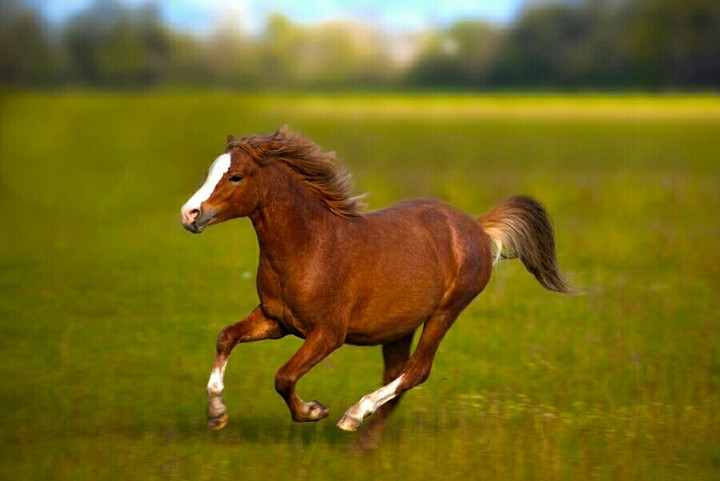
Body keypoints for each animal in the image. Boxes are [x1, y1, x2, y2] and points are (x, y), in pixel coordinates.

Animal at [180, 126, 573, 449]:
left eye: (235, 177)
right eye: (210, 172)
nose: (190, 214)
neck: (311, 246)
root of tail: (477, 226)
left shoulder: (328, 333)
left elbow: (284, 376)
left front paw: (315, 411)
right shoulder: (276, 321)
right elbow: (226, 336)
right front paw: (216, 415)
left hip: (444, 314)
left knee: (416, 371)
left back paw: (353, 418)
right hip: (400, 327)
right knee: (398, 374)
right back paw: (364, 443)